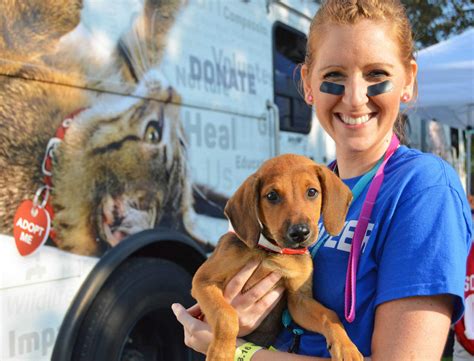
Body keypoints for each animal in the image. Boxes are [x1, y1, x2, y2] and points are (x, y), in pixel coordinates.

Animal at [0, 0, 204, 255]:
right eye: (181, 142)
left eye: (153, 133)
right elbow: (149, 37)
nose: (174, 94)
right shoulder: (119, 73)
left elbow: (19, 30)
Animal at [191, 154, 362, 360]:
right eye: (272, 195)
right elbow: (226, 314)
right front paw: (221, 352)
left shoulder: (298, 301)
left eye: (312, 192)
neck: (272, 251)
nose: (300, 233)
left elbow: (329, 315)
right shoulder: (203, 280)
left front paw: (346, 347)